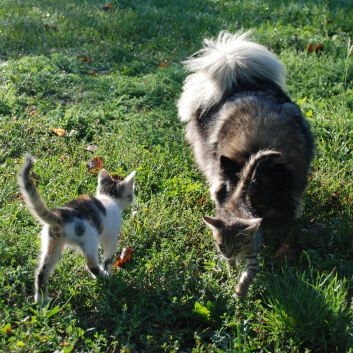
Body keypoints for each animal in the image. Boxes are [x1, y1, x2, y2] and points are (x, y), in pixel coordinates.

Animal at [17, 153, 136, 304]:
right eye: (131, 193)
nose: (133, 199)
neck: (108, 198)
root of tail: (60, 216)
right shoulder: (111, 236)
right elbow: (108, 258)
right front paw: (109, 273)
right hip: (89, 237)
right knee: (91, 264)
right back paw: (103, 277)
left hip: (53, 243)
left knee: (41, 272)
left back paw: (42, 300)